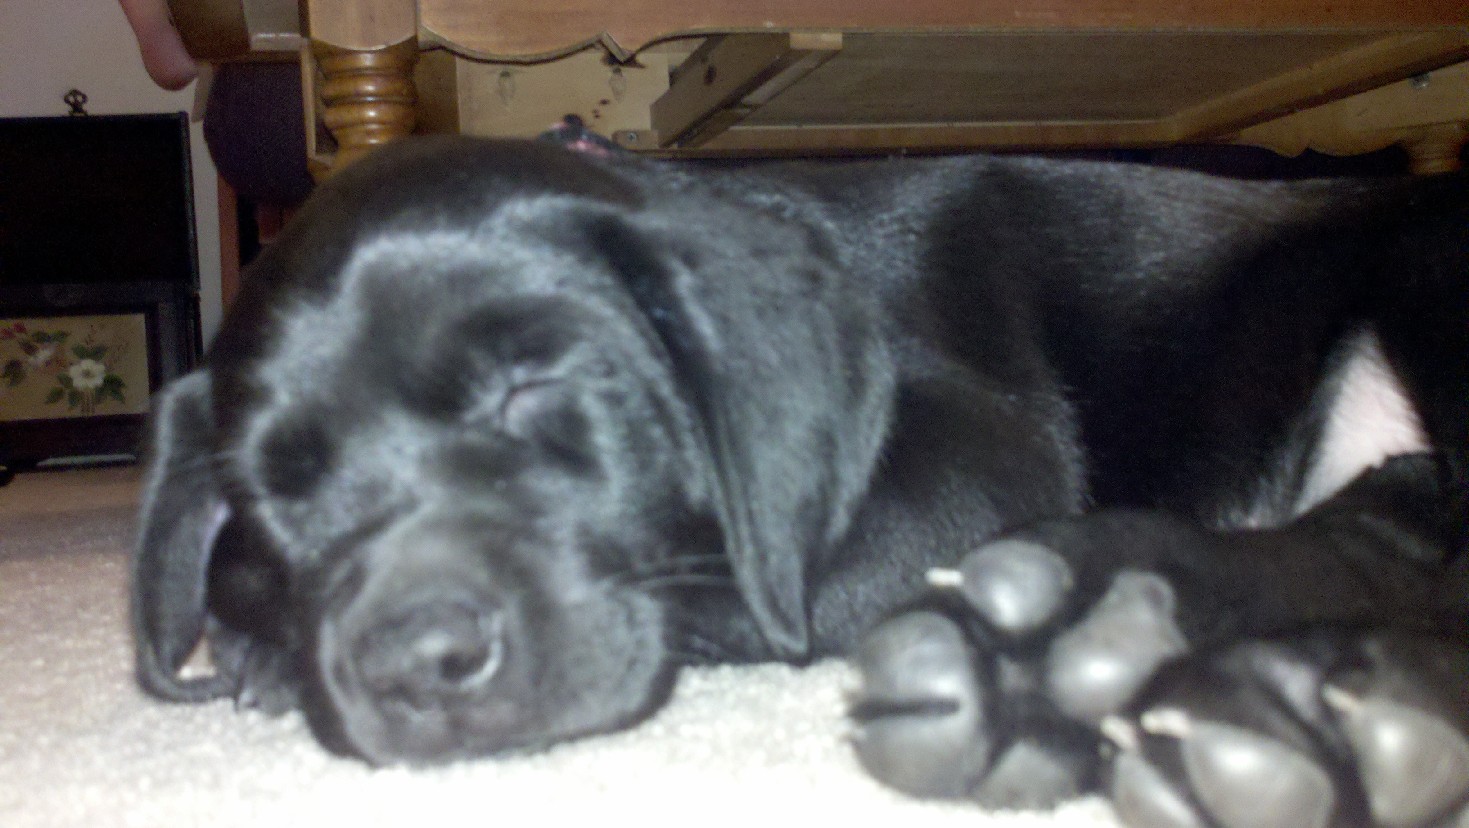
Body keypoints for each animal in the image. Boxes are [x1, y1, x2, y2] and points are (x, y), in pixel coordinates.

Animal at [132, 137, 1463, 827]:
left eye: (530, 388)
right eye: (276, 490)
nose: (414, 668)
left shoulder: (976, 455)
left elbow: (756, 579)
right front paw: (253, 619)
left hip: (1425, 275)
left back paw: (1065, 653)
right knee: (1397, 531)